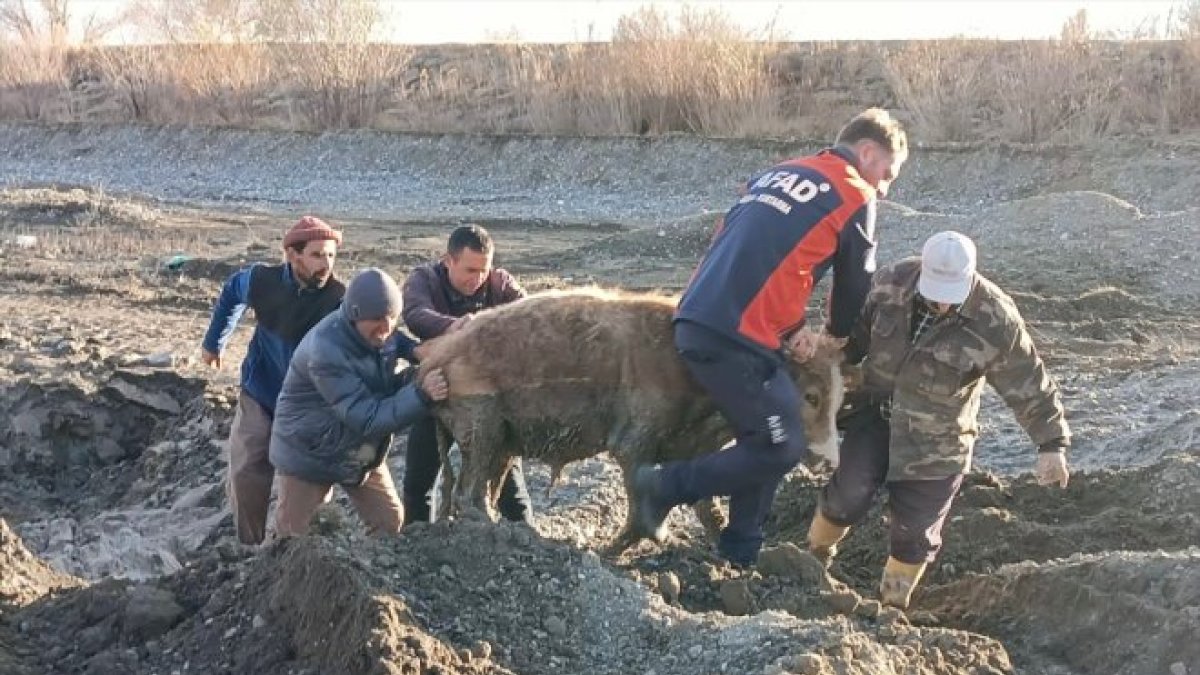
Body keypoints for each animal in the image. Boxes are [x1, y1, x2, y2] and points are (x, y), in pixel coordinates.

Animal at [420, 285, 844, 550]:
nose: (830, 462)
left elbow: (704, 503)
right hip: (482, 426)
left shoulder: (693, 447)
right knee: (467, 494)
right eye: (811, 395)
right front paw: (624, 548)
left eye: (840, 398)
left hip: (504, 442)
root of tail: (432, 359)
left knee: (481, 490)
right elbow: (641, 507)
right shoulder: (634, 441)